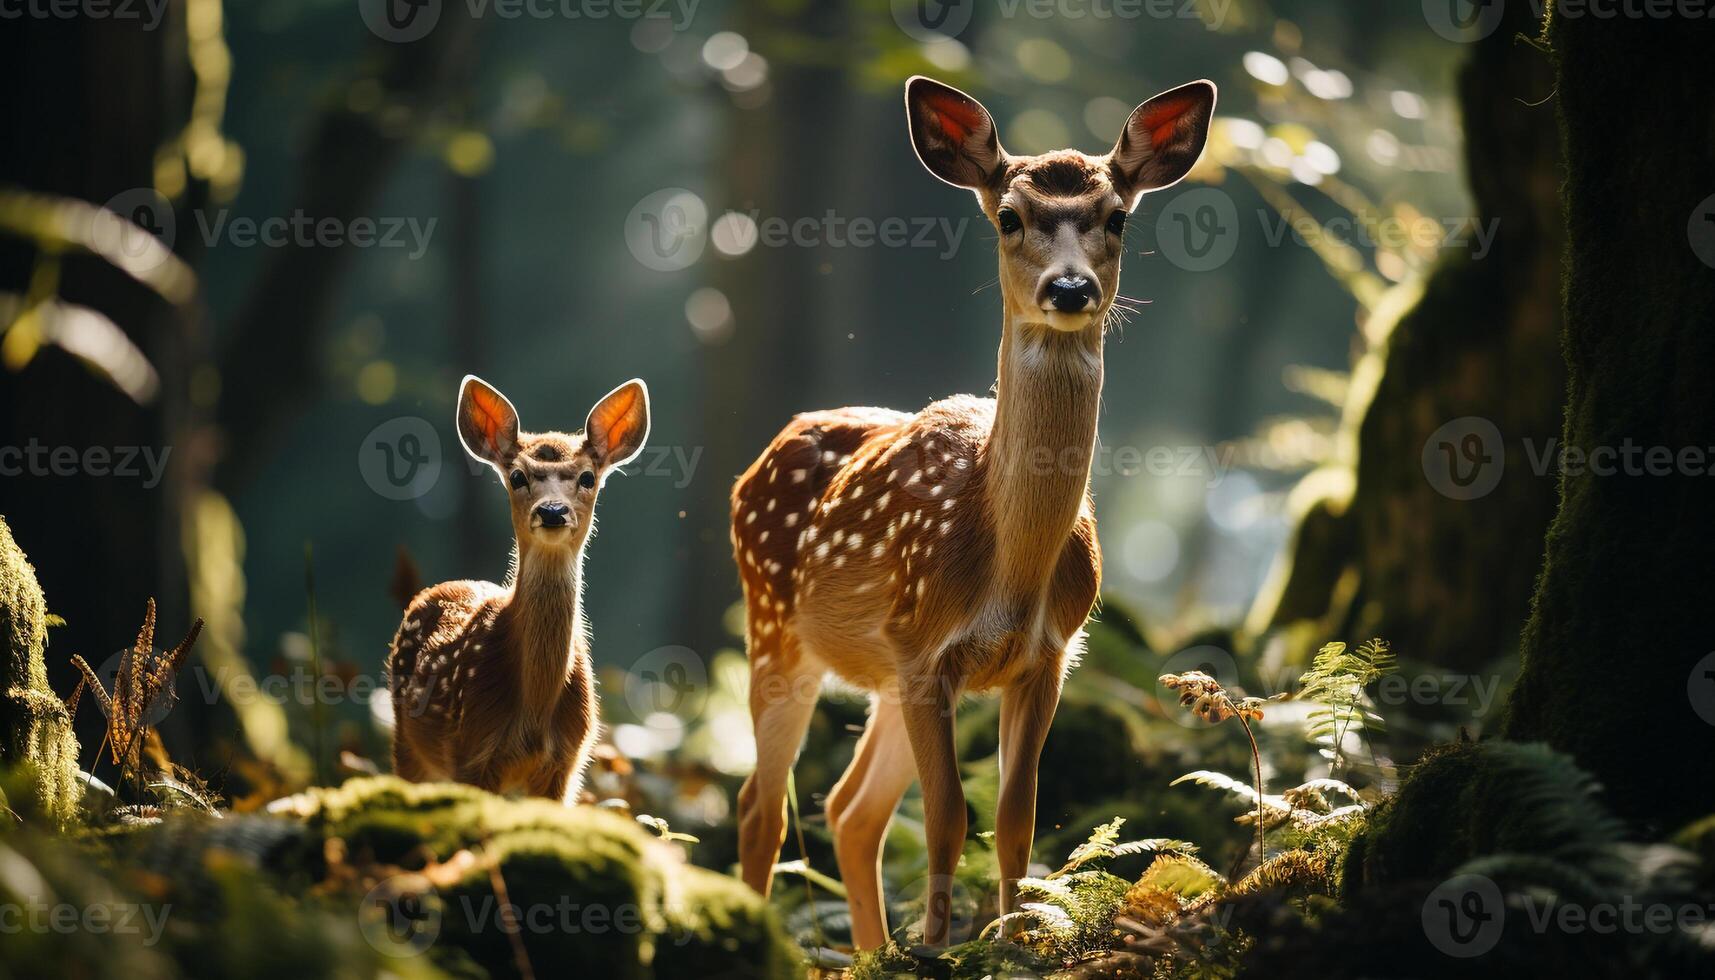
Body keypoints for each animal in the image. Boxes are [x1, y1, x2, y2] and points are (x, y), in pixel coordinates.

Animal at [389, 377, 648, 806]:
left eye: (587, 477)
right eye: (517, 477)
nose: (552, 511)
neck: (536, 708)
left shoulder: (566, 763)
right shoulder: (471, 751)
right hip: (407, 741)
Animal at [730, 72, 1214, 947]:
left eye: (1116, 217)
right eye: (1009, 216)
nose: (1068, 288)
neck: (1008, 567)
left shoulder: (1047, 656)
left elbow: (1016, 817)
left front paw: (1017, 942)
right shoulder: (925, 649)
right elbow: (949, 817)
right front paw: (937, 951)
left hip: (879, 673)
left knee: (849, 809)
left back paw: (872, 952)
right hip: (777, 625)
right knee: (762, 805)